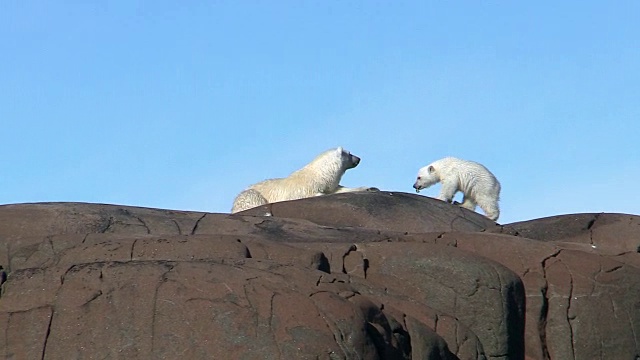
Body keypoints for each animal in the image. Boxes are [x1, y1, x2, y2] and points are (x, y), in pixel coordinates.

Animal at [232, 147, 378, 214]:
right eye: (349, 153)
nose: (358, 159)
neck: (318, 175)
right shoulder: (302, 189)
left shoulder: (328, 185)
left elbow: (340, 189)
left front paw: (370, 188)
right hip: (247, 196)